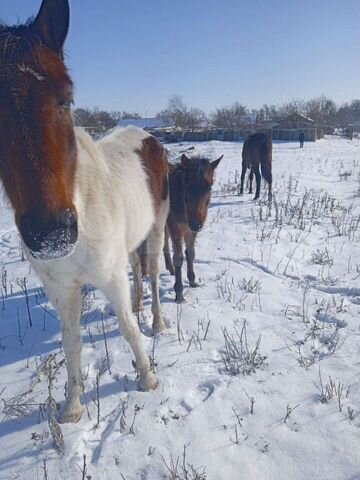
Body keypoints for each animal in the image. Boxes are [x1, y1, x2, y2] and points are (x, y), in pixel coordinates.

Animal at [0, 0, 169, 422]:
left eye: (67, 98)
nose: (51, 234)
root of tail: (149, 137)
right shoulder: (62, 290)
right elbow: (71, 343)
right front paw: (72, 406)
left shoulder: (109, 276)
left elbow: (128, 328)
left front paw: (147, 378)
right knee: (138, 270)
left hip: (157, 229)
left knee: (153, 272)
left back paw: (158, 320)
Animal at [164, 154, 222, 302]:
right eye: (186, 186)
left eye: (209, 188)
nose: (196, 223)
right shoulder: (175, 226)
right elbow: (178, 257)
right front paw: (179, 292)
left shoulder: (190, 229)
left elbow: (190, 253)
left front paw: (192, 280)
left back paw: (170, 268)